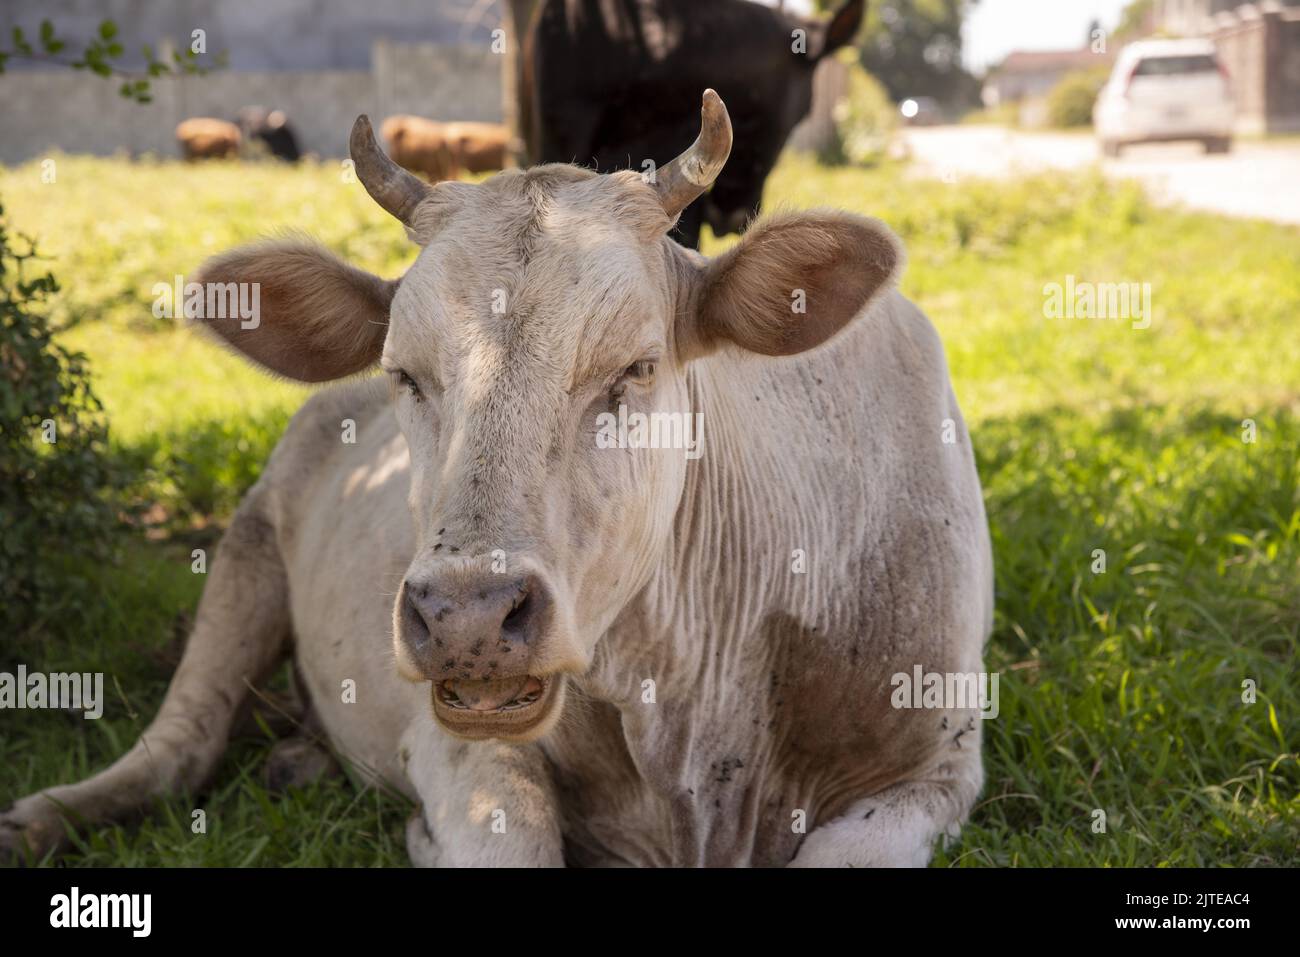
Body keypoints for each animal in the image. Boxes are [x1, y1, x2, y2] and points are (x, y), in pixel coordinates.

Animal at [0, 92, 993, 867]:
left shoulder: (935, 767)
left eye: (635, 367)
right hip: (245, 553)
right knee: (177, 747)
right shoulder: (457, 748)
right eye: (404, 372)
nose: (465, 618)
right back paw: (40, 818)